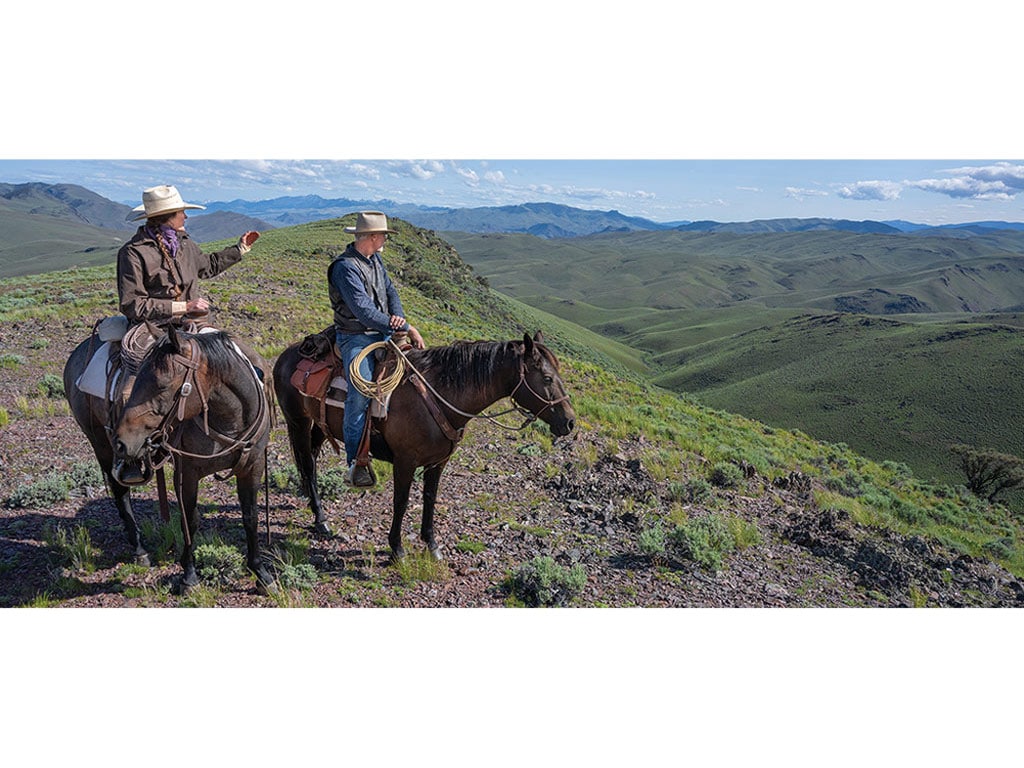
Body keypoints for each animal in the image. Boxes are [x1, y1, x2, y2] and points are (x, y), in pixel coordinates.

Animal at [66, 325, 278, 593]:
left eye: (161, 385)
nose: (122, 442)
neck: (229, 422)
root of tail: (78, 352)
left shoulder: (252, 467)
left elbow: (250, 517)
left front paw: (261, 574)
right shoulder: (187, 472)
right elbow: (190, 520)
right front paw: (189, 577)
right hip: (101, 445)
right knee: (120, 492)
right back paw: (139, 550)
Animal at [272, 329, 577, 561]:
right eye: (547, 378)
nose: (570, 422)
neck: (440, 395)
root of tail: (288, 354)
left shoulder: (438, 462)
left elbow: (430, 499)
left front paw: (431, 545)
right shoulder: (405, 461)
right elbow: (401, 501)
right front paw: (397, 548)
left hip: (320, 425)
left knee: (310, 459)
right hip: (297, 421)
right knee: (307, 463)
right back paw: (321, 519)